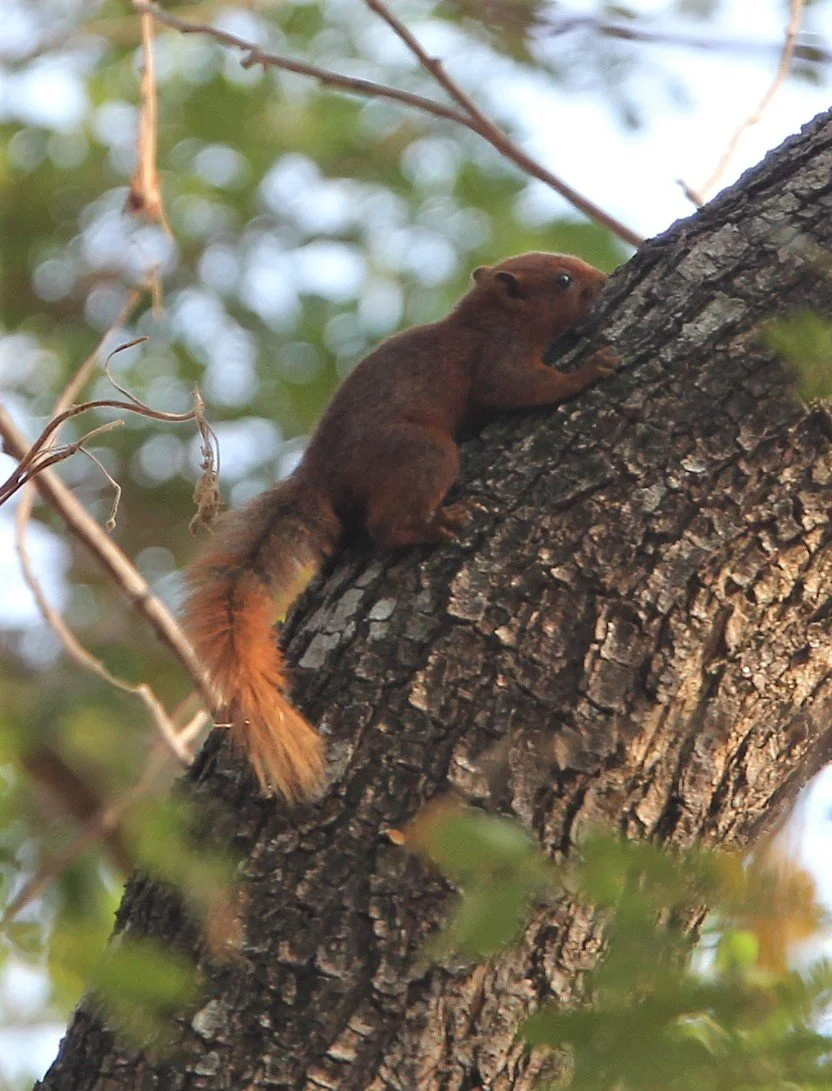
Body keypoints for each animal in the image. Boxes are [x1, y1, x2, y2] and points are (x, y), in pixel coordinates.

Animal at [183, 252, 620, 801]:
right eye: (563, 280)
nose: (604, 281)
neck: (486, 320)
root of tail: (321, 472)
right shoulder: (496, 361)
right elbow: (525, 387)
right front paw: (590, 369)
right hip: (424, 453)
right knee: (388, 525)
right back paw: (436, 525)